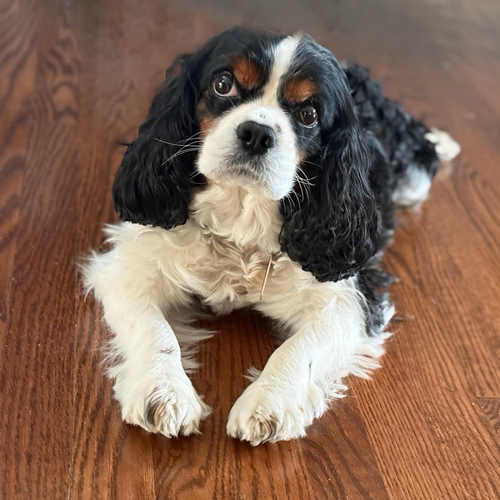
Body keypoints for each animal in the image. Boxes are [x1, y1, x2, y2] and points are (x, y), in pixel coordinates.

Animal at [84, 26, 460, 445]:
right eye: (223, 84)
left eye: (309, 114)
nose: (256, 133)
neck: (240, 217)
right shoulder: (130, 267)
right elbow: (154, 329)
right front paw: (162, 389)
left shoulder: (349, 298)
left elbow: (300, 348)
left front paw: (268, 401)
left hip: (413, 182)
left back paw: (442, 142)